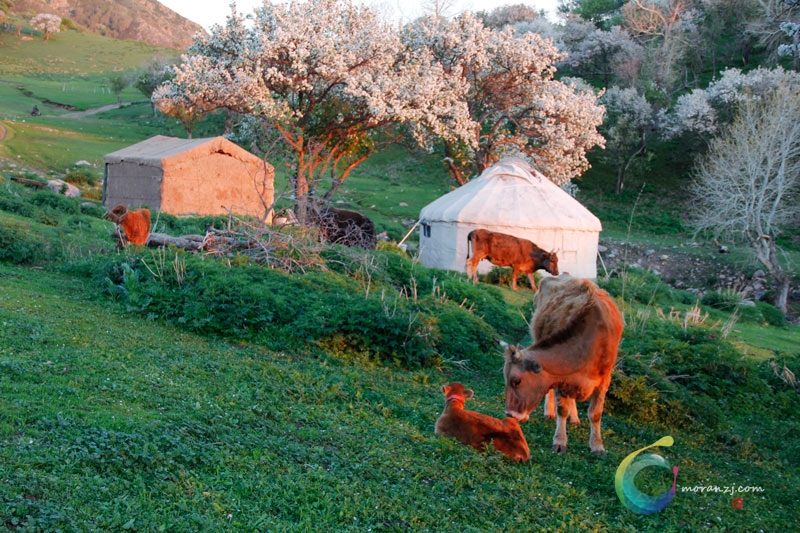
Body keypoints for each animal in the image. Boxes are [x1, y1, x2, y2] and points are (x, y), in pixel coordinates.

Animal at [500, 274, 624, 454]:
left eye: (516, 381)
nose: (510, 414)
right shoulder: (560, 377)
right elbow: (562, 409)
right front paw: (560, 441)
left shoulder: (604, 378)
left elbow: (595, 413)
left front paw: (597, 445)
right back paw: (550, 411)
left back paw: (575, 417)